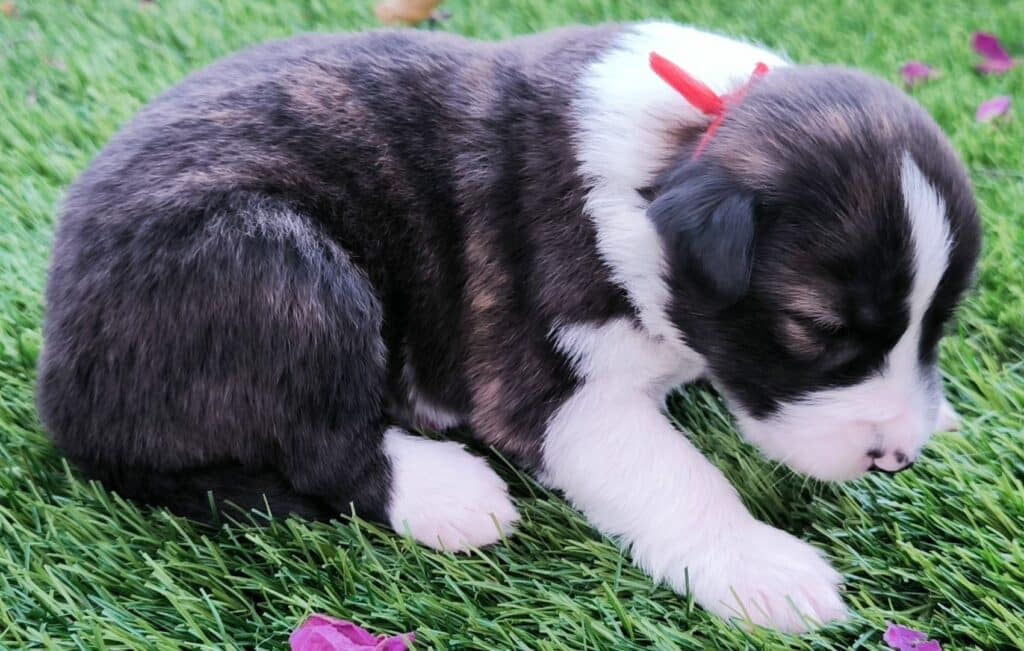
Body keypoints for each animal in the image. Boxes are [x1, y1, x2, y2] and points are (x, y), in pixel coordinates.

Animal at [37, 22, 983, 634]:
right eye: (816, 327)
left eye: (939, 322)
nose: (897, 456)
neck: (689, 145)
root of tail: (61, 389)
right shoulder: (556, 387)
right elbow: (677, 478)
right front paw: (761, 568)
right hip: (276, 269)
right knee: (321, 442)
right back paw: (447, 494)